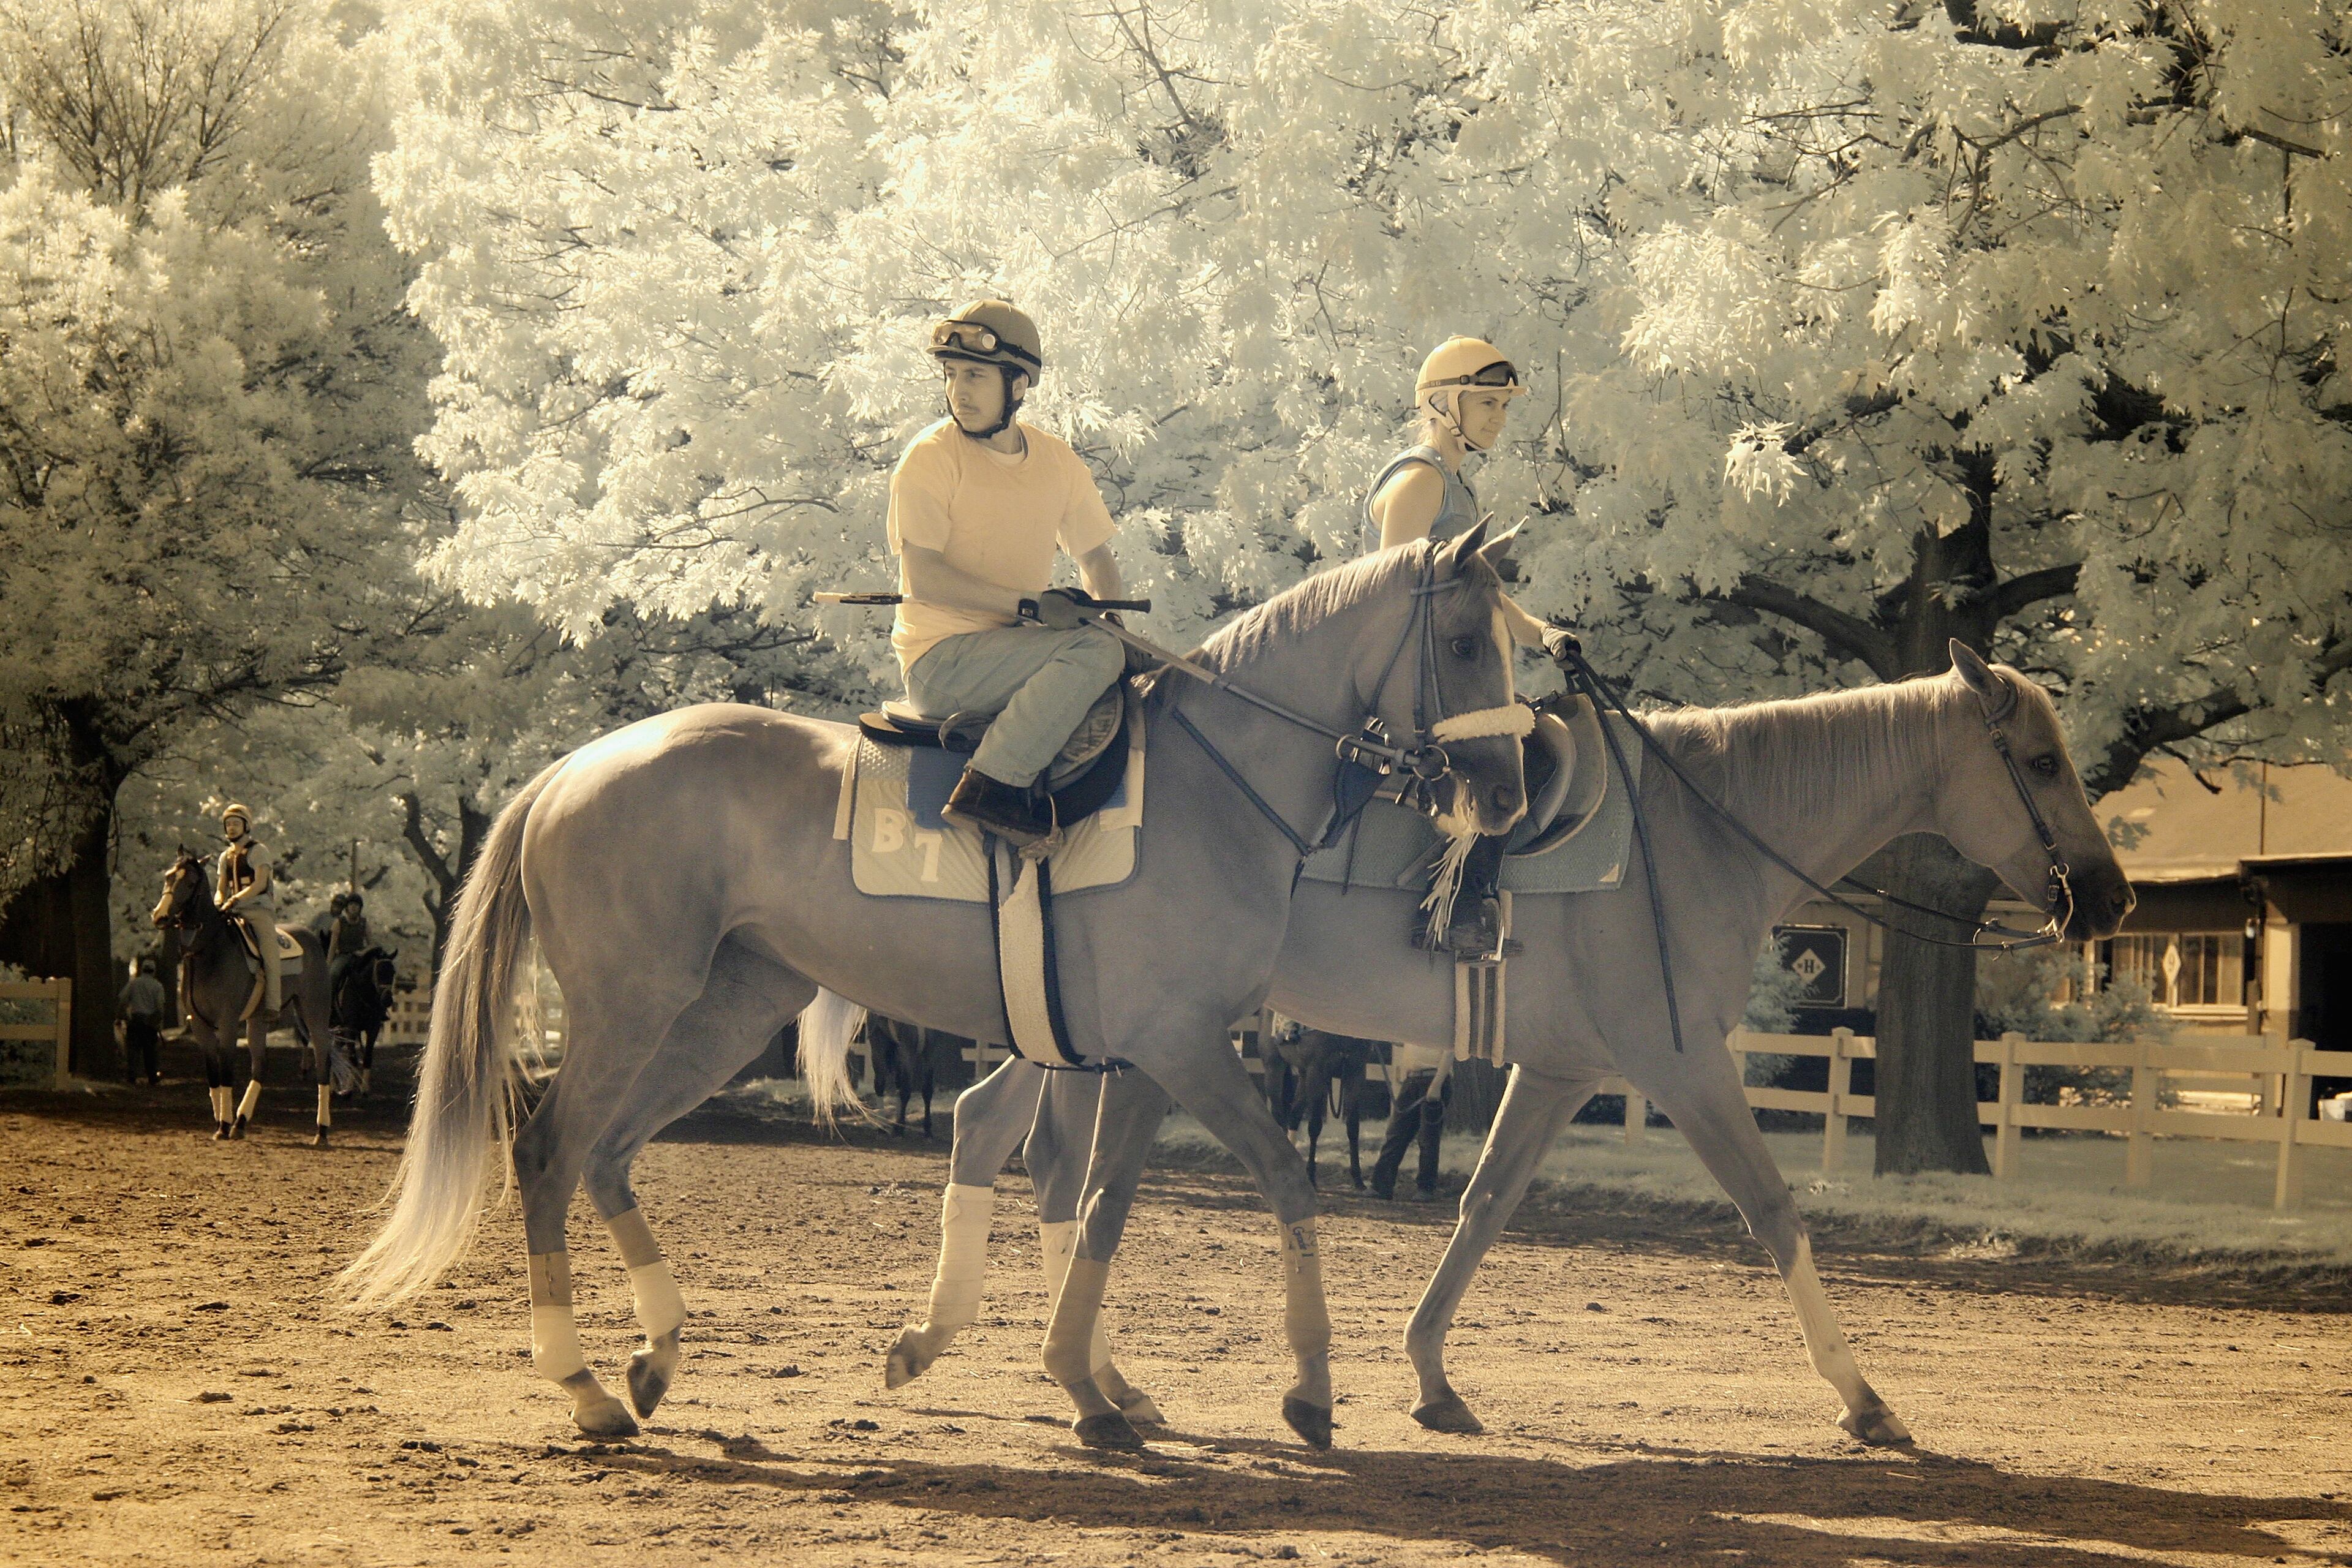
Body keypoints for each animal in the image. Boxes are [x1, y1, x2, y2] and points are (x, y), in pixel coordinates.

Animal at [150, 852, 335, 1144]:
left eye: (190, 882)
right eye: (169, 877)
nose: (160, 916)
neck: (209, 952)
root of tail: (313, 939)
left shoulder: (227, 1023)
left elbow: (226, 1071)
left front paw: (223, 1125)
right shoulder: (200, 1025)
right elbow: (213, 1075)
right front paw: (222, 1122)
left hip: (314, 1013)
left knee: (322, 1062)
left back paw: (321, 1131)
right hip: (258, 1020)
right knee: (260, 1065)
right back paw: (241, 1122)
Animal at [1264, 1021, 1373, 1189]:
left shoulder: (1356, 1072)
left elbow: (1353, 1127)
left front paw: (1358, 1179)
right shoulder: (1317, 1071)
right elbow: (1315, 1127)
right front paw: (1311, 1176)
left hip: (1303, 1073)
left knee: (1295, 1114)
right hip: (1274, 1066)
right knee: (1278, 1115)